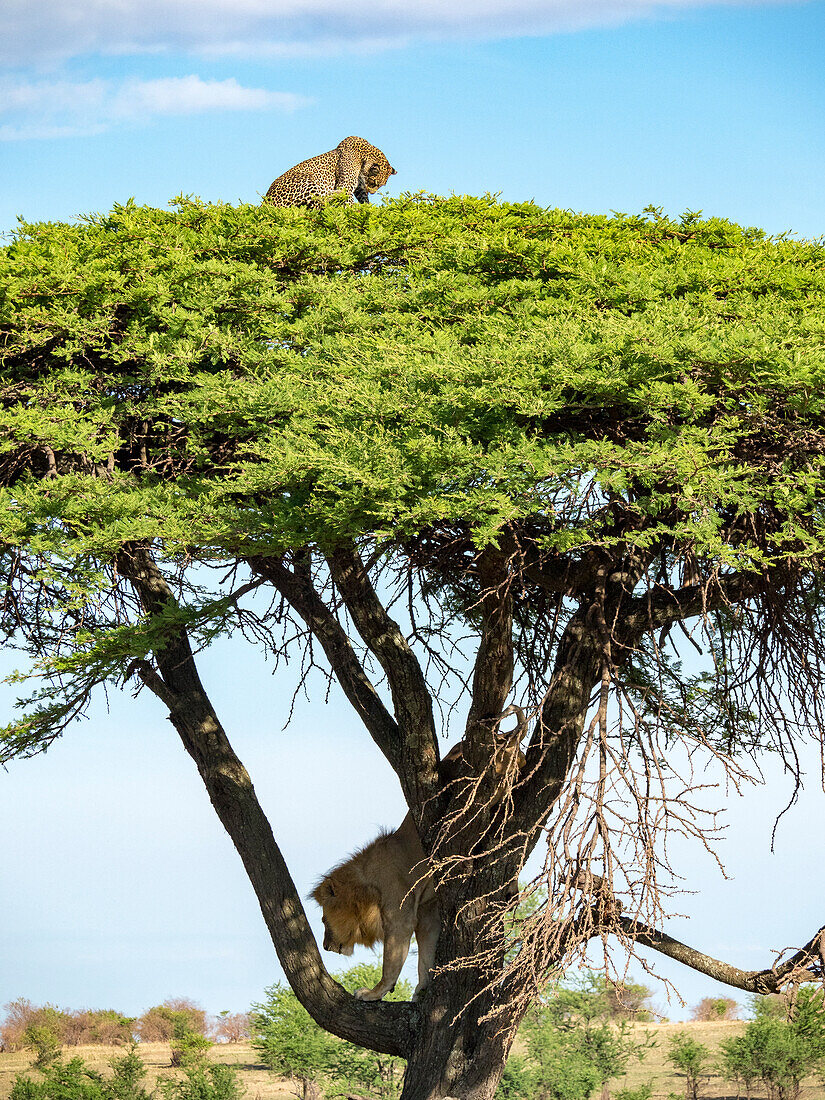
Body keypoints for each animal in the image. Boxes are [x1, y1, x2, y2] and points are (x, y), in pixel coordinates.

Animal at [262, 134, 396, 206]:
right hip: (307, 179)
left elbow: (362, 195)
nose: (372, 192)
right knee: (320, 198)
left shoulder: (358, 184)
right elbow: (347, 197)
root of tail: (266, 202)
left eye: (380, 186)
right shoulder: (345, 185)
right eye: (374, 183)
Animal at [312, 708, 525, 1003]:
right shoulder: (428, 911)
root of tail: (504, 737)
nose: (326, 946)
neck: (367, 887)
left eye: (324, 920)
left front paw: (374, 993)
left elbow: (391, 964)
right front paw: (422, 989)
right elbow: (425, 956)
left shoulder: (399, 917)